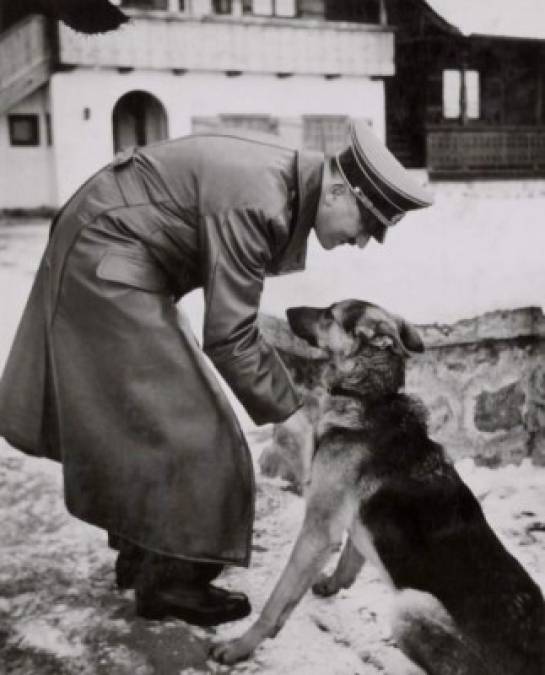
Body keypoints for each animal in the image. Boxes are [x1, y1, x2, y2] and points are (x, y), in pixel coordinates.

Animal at [211, 302, 544, 675]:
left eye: (329, 314)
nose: (287, 310)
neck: (367, 395)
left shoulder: (319, 529)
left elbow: (277, 598)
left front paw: (240, 646)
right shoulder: (351, 521)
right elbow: (349, 558)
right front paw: (332, 584)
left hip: (410, 606)